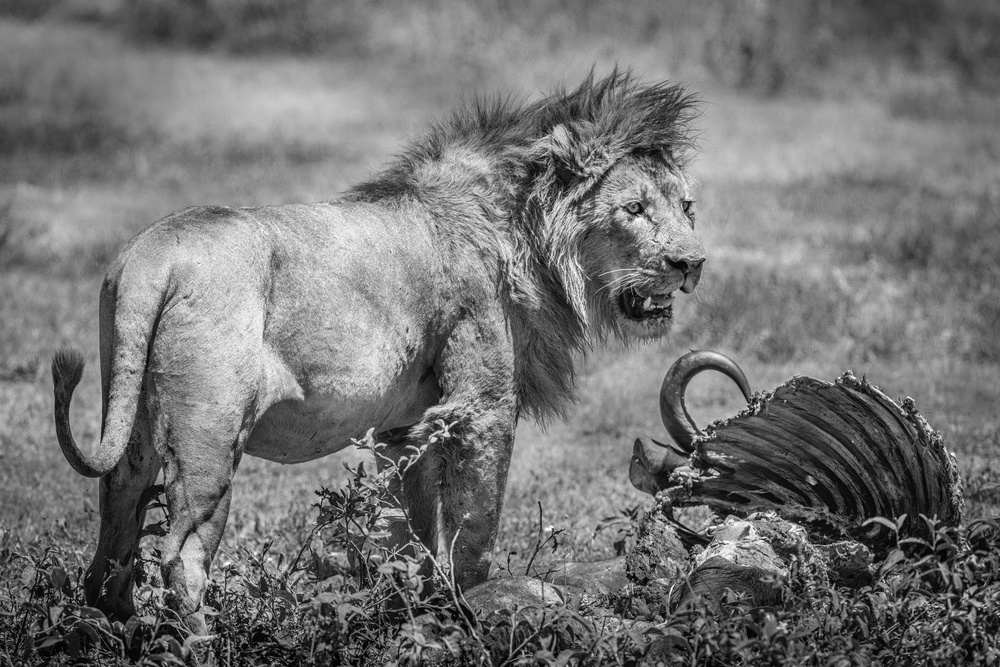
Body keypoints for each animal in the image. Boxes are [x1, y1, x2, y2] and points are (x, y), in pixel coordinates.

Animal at [52, 72, 704, 632]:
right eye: (634, 209)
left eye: (687, 207)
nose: (691, 263)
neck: (521, 231)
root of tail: (153, 255)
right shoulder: (482, 404)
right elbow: (474, 524)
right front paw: (473, 605)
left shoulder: (407, 423)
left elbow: (412, 527)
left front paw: (418, 603)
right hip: (209, 435)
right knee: (181, 554)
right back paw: (198, 643)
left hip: (132, 412)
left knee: (116, 518)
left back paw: (117, 624)